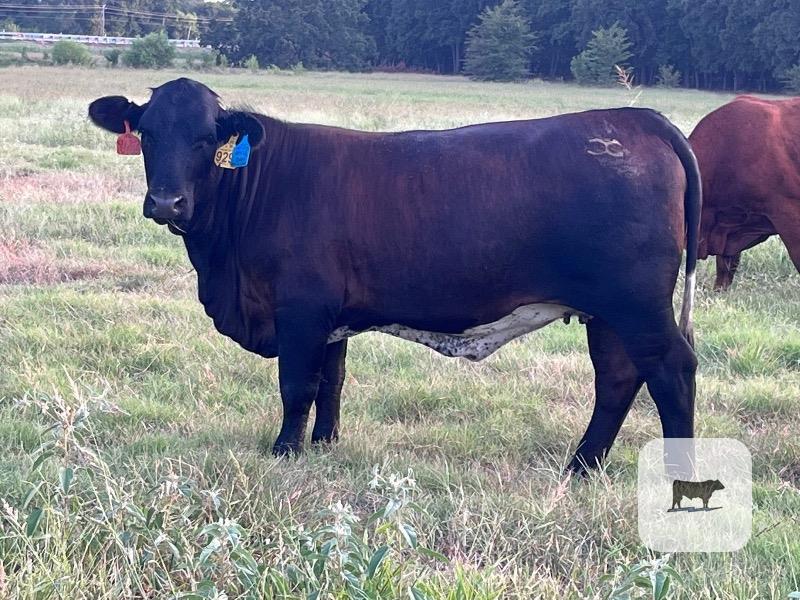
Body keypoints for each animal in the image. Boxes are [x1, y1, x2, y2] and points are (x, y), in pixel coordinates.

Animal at [88, 78, 700, 473]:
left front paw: (285, 451)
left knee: (671, 371)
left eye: (204, 138)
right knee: (617, 378)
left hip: (636, 305)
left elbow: (296, 385)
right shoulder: (329, 318)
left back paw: (678, 474)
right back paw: (582, 466)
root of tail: (633, 118)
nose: (166, 203)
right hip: (608, 312)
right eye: (146, 134)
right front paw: (324, 445)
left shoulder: (300, 310)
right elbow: (331, 382)